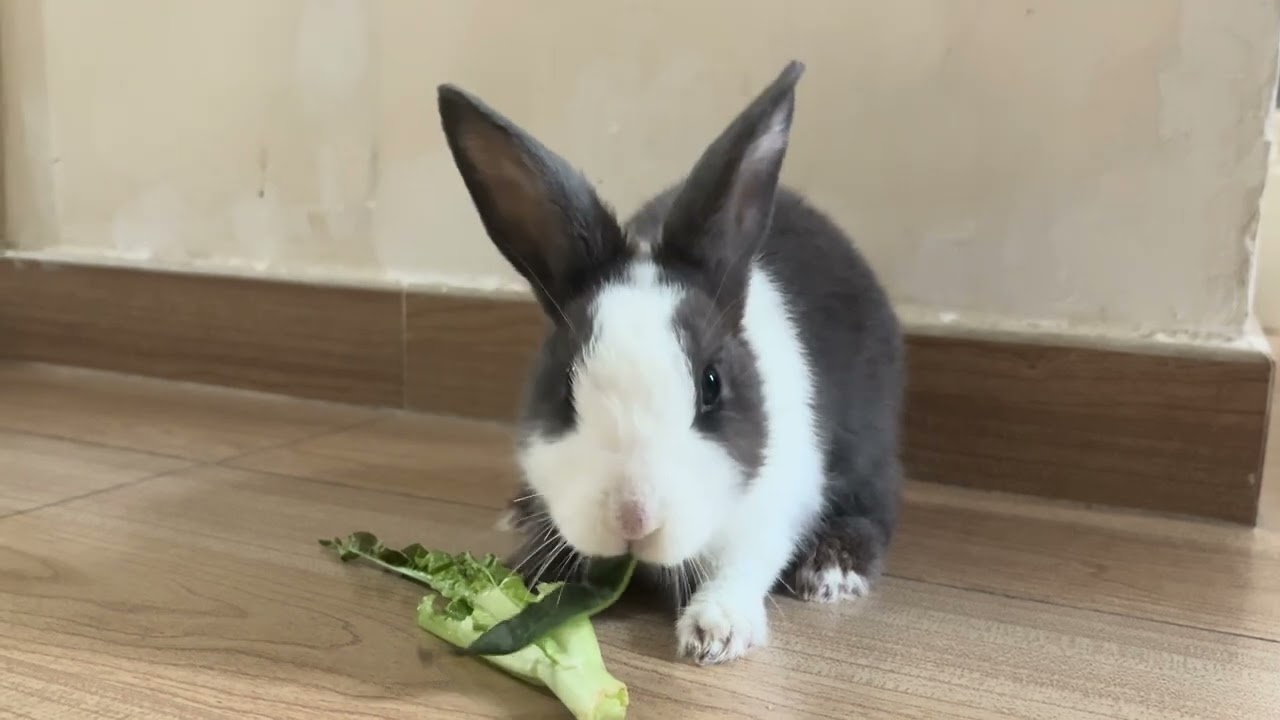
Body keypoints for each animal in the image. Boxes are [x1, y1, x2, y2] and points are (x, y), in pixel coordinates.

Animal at [436, 60, 904, 666]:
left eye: (712, 386)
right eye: (563, 388)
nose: (633, 518)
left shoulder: (773, 506)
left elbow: (746, 564)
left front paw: (715, 632)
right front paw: (513, 582)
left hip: (868, 448)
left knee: (878, 506)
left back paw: (832, 571)